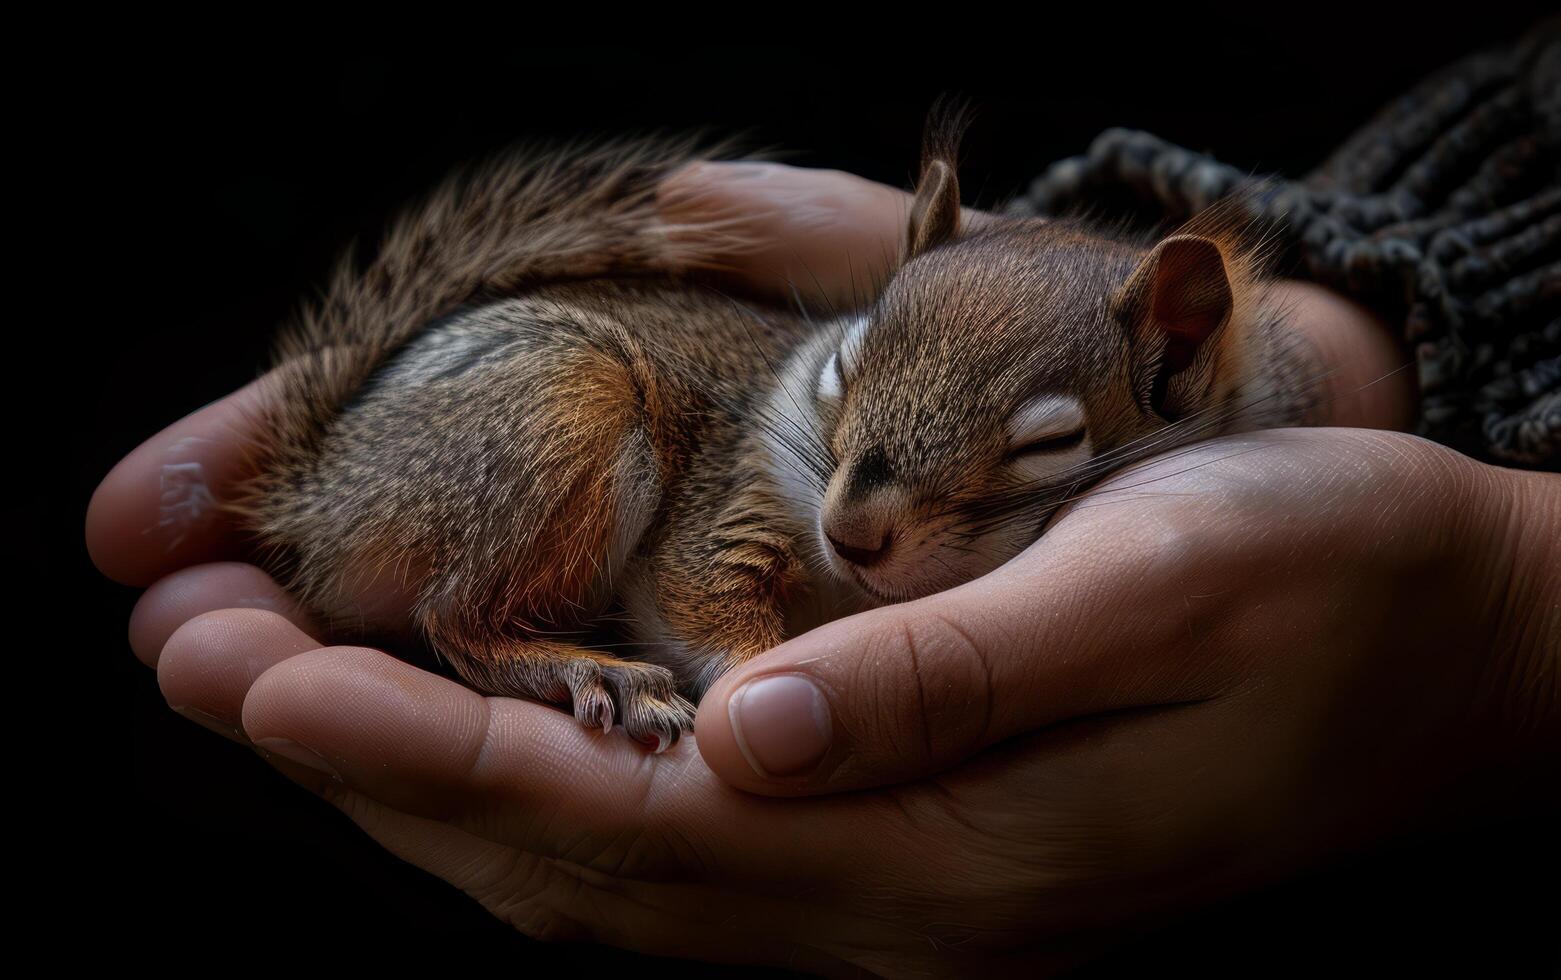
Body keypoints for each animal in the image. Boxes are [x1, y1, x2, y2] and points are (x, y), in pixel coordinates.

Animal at [237, 126, 1311, 745]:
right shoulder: (732, 499)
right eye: (846, 362)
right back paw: (593, 671)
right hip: (560, 406)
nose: (851, 534)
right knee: (454, 620)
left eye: (1047, 446)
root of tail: (316, 498)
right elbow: (697, 590)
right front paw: (760, 676)